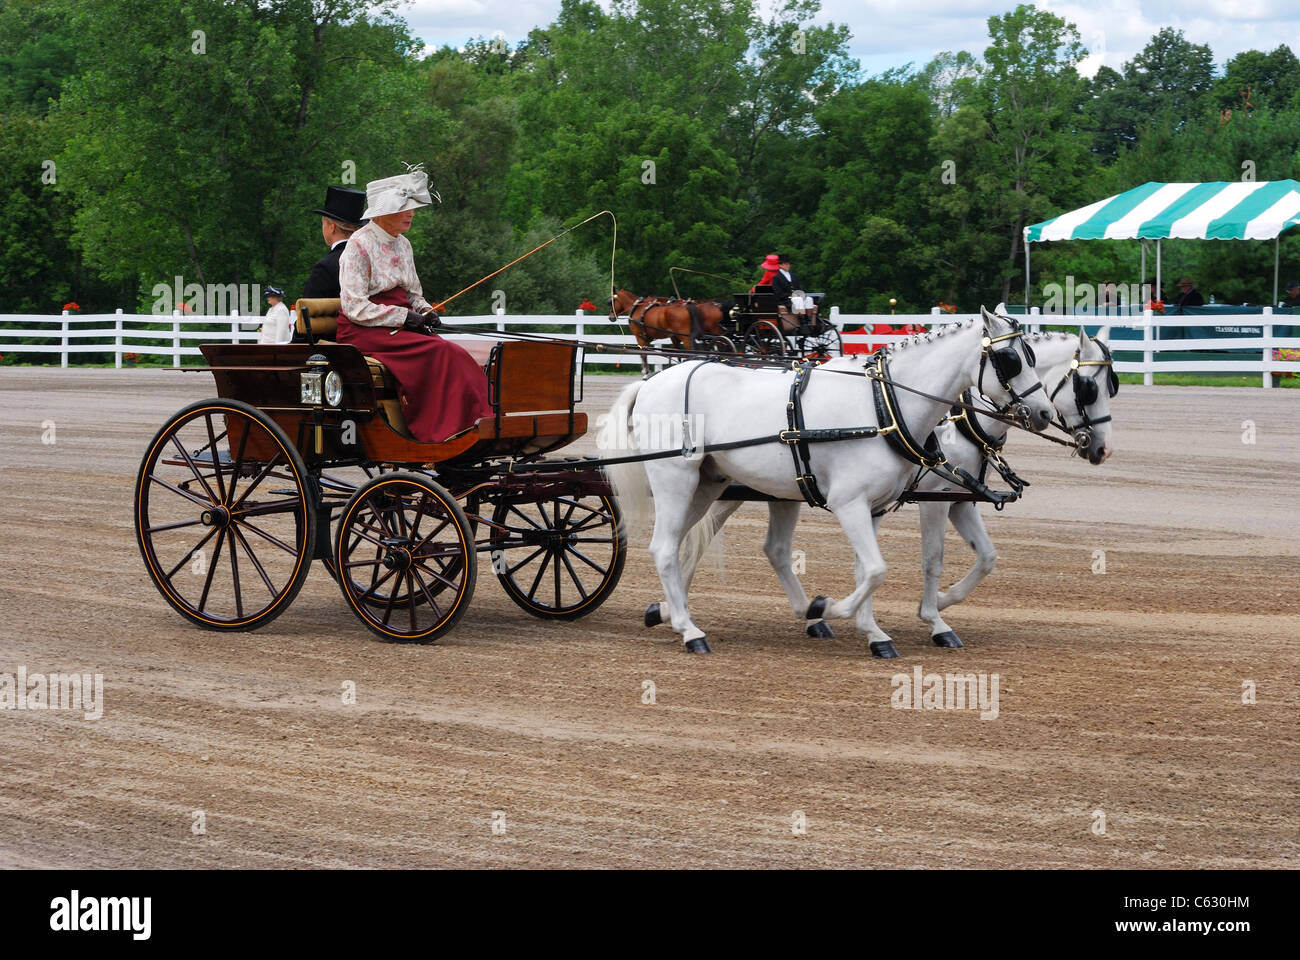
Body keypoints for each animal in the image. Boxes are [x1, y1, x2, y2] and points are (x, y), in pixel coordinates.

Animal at [603, 304, 1060, 650]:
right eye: (1010, 360)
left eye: (1033, 358)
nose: (1043, 412)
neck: (882, 405)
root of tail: (651, 382)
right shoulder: (850, 503)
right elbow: (877, 569)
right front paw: (827, 607)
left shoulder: (874, 509)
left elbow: (867, 570)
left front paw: (872, 633)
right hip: (675, 480)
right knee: (665, 549)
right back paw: (689, 630)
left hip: (709, 484)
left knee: (694, 546)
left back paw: (671, 612)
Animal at [605, 287, 733, 374]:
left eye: (611, 301)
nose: (611, 317)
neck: (637, 307)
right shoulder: (672, 337)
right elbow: (675, 352)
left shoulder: (640, 336)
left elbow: (643, 354)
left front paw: (645, 373)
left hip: (688, 336)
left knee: (695, 351)